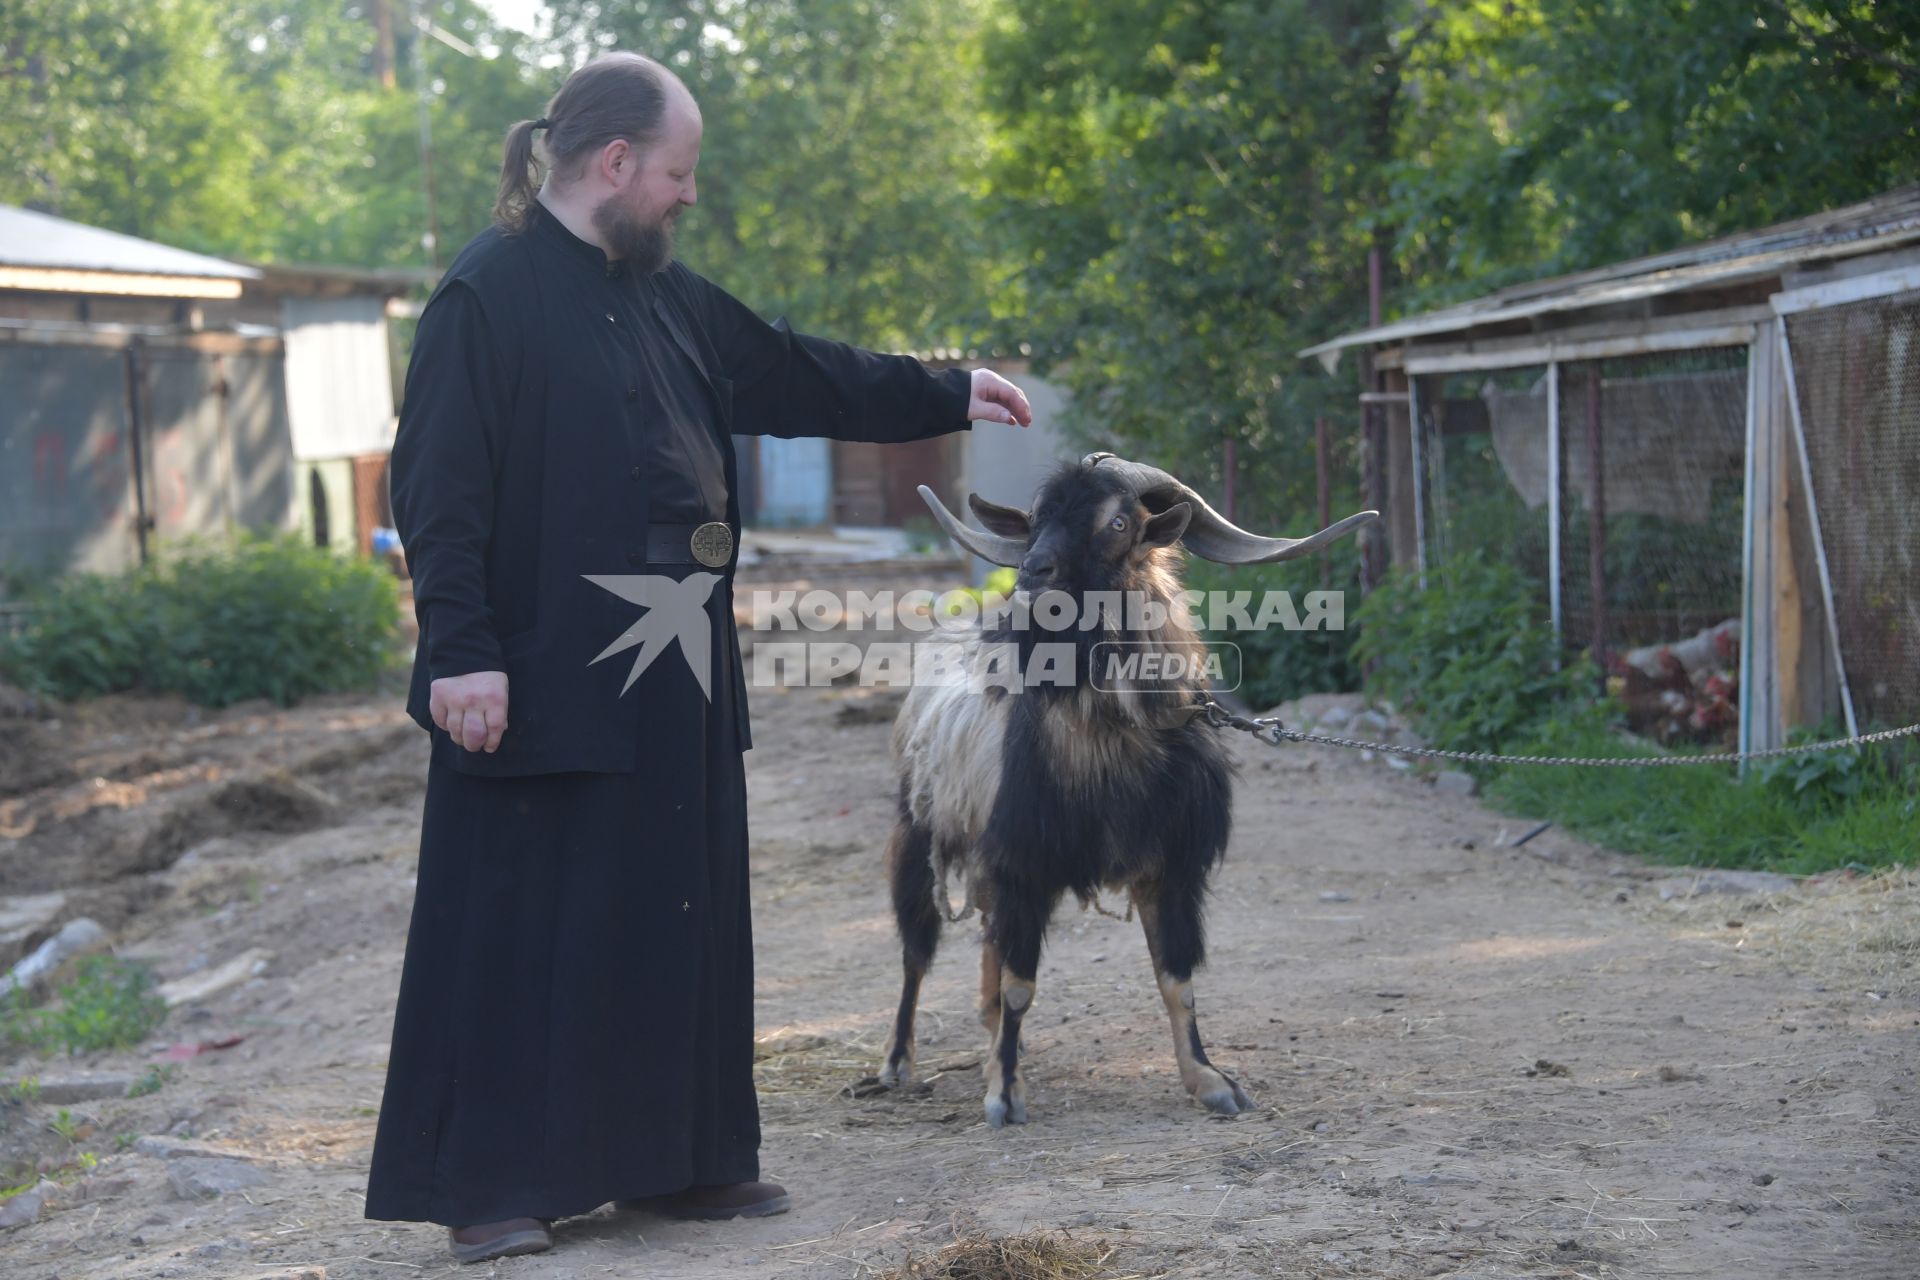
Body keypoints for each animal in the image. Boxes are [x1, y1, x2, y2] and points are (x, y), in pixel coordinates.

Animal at [879, 449, 1374, 1120]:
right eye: (1037, 518)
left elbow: (1176, 979)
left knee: (984, 943)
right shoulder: (1024, 863)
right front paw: (1004, 1094)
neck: (1113, 730)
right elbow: (1020, 985)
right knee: (916, 950)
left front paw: (1210, 1081)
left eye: (1117, 522)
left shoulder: (1168, 868)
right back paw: (897, 1061)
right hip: (917, 831)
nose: (1032, 573)